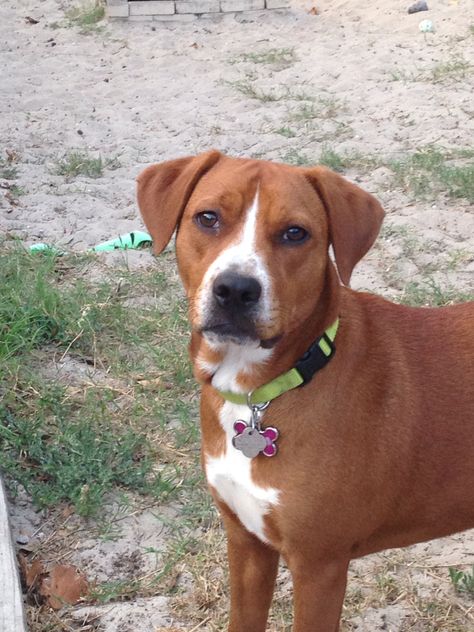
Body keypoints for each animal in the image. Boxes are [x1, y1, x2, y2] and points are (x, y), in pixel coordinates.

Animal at [136, 151, 474, 628]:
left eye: (295, 233)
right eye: (208, 218)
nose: (235, 289)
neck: (262, 392)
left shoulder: (319, 565)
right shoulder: (246, 541)